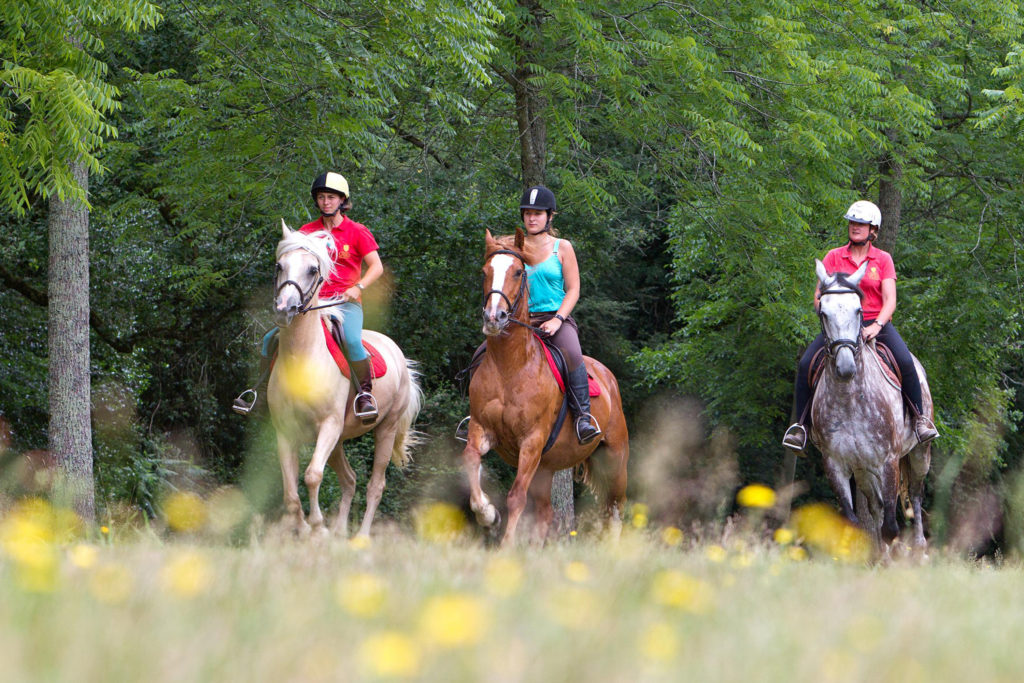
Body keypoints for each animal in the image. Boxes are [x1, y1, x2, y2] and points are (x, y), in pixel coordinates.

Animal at [270, 223, 421, 540]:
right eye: (280, 265)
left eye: (313, 269)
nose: (284, 309)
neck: (302, 358)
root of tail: (400, 356)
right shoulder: (286, 432)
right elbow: (290, 492)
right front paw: (305, 528)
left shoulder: (328, 426)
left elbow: (312, 475)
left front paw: (318, 526)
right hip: (339, 440)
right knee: (350, 480)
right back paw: (340, 532)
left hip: (385, 430)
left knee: (375, 485)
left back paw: (360, 537)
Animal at [460, 229, 626, 544]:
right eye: (485, 272)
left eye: (517, 272)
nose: (494, 318)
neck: (510, 366)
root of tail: (607, 375)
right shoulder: (481, 429)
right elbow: (471, 464)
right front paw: (489, 516)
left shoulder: (532, 441)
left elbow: (515, 498)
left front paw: (506, 546)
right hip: (546, 468)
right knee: (546, 513)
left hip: (614, 458)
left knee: (614, 510)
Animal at [811, 259, 933, 552]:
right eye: (823, 312)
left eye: (858, 310)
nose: (845, 367)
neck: (849, 399)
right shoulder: (836, 465)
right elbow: (856, 523)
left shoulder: (888, 462)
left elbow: (891, 527)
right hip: (863, 470)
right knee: (876, 507)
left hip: (919, 454)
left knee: (915, 495)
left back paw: (920, 548)